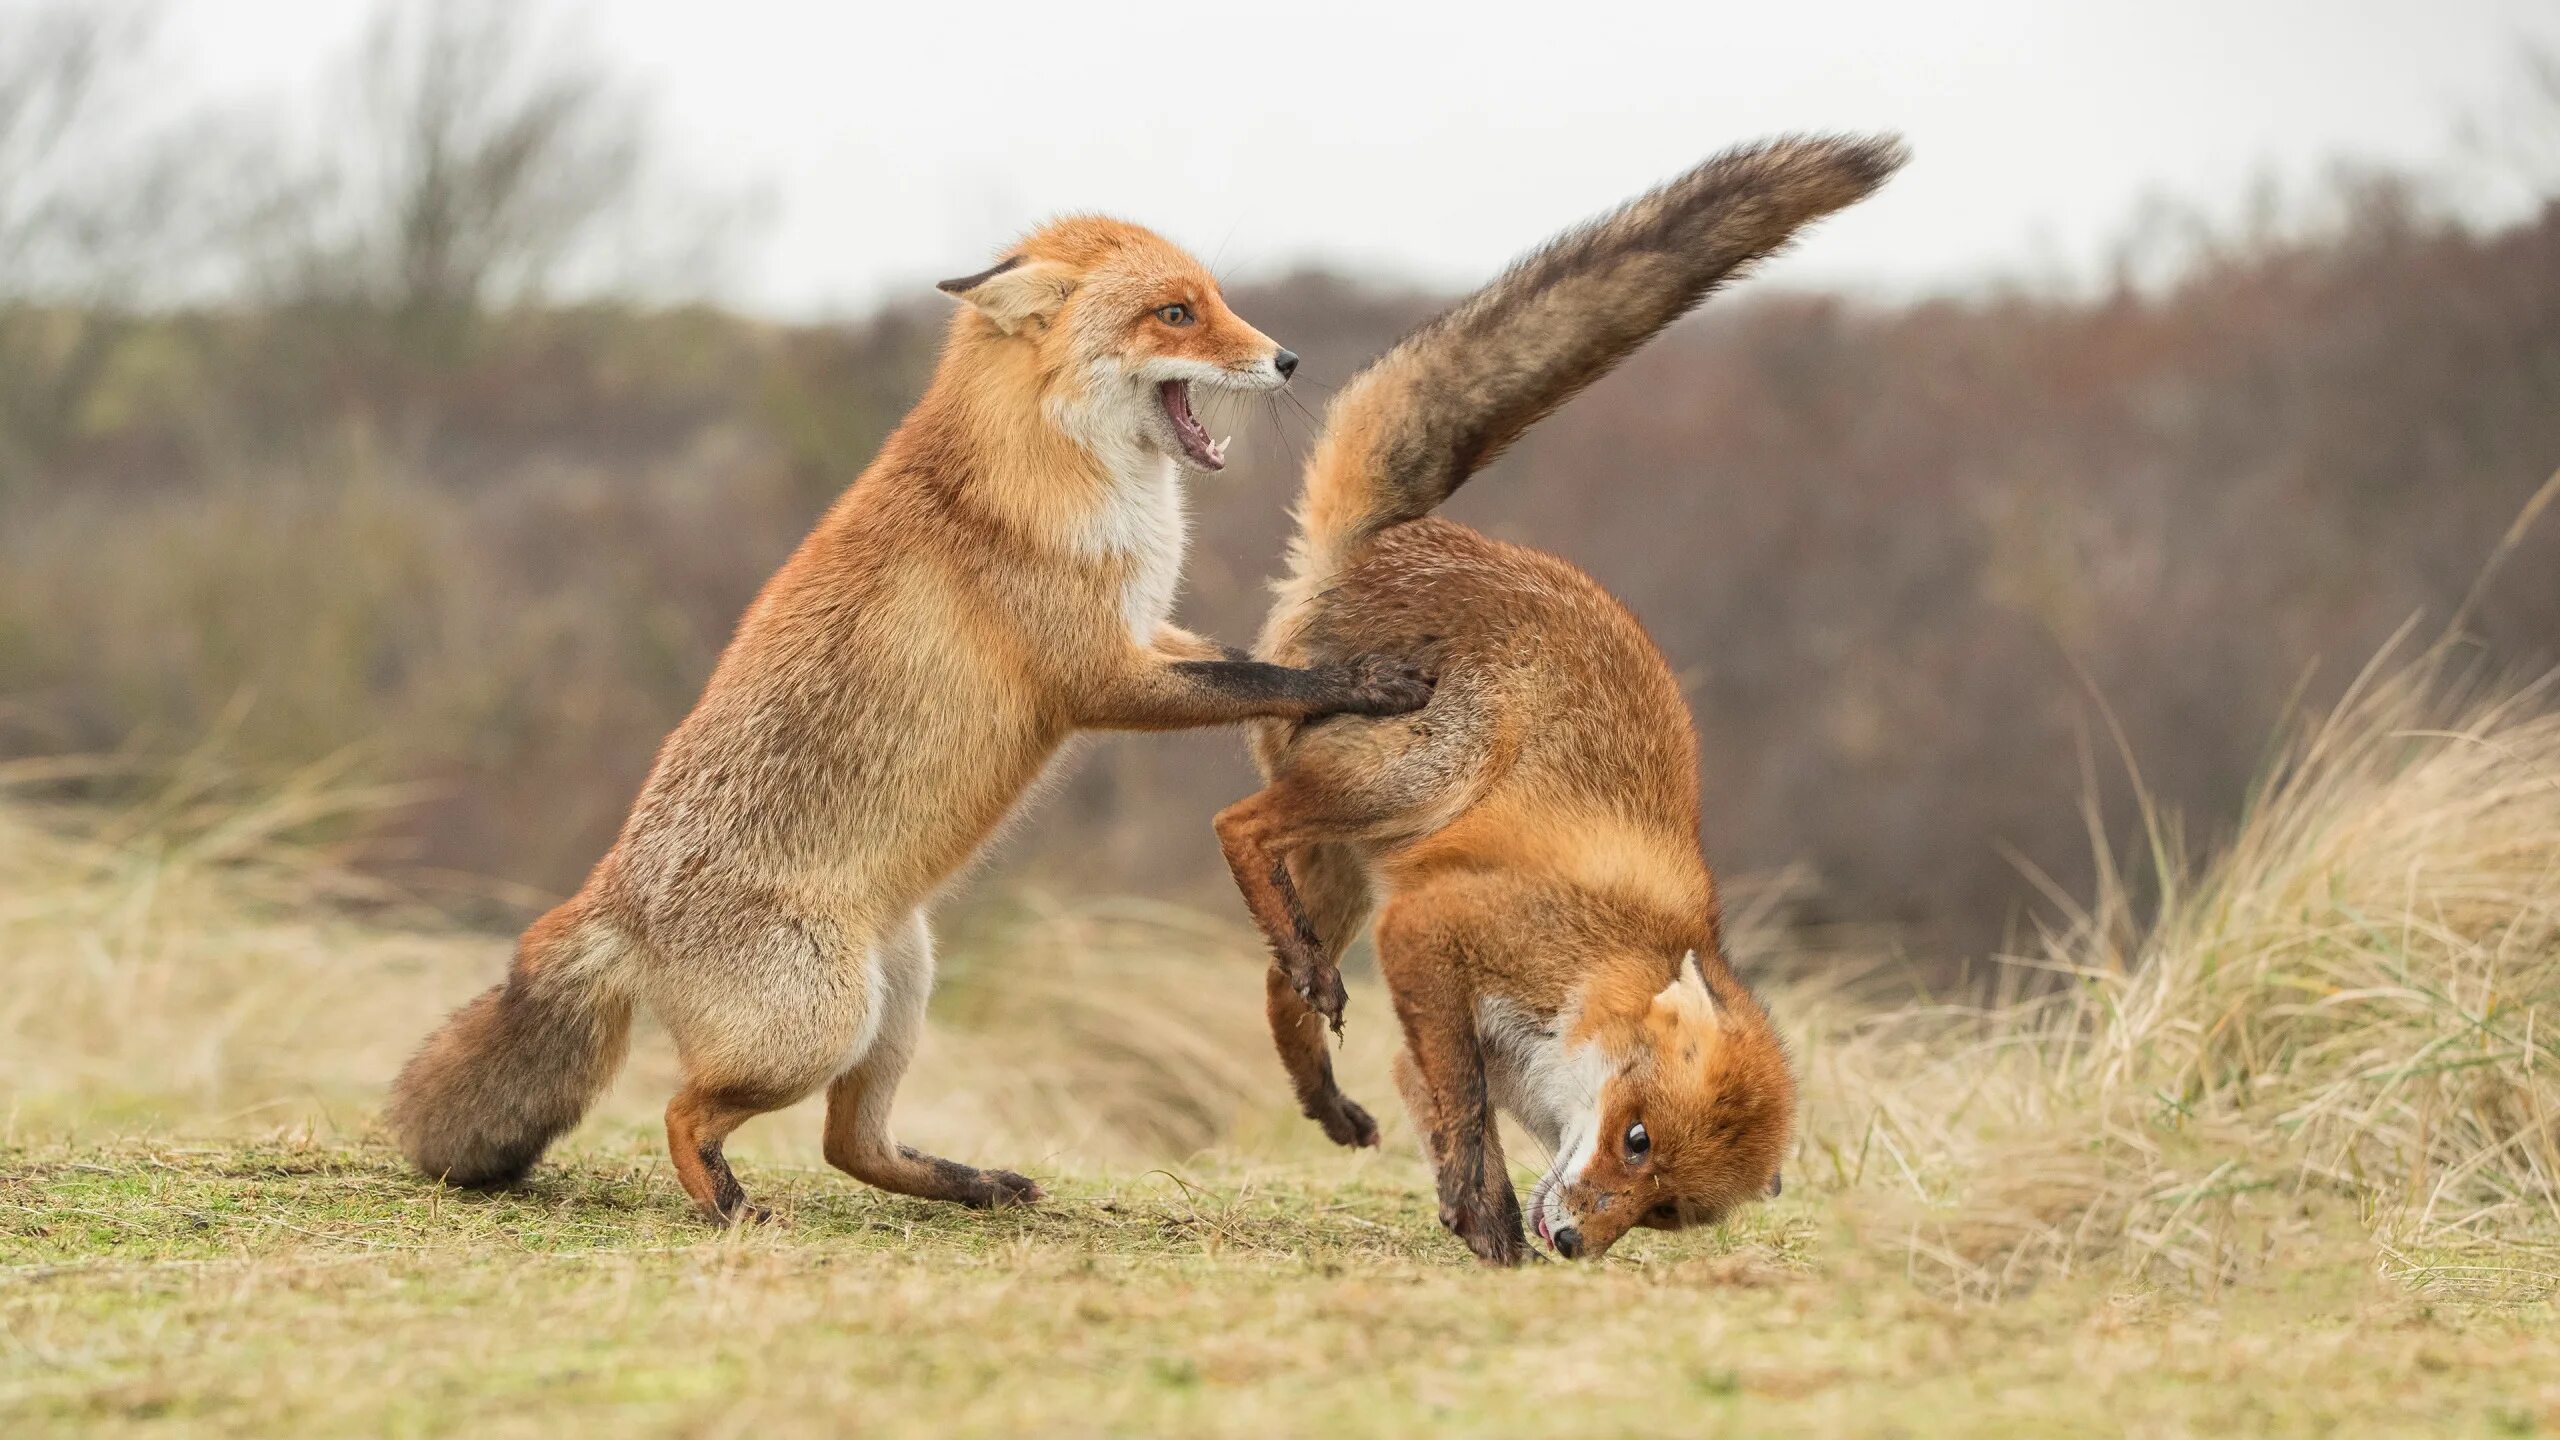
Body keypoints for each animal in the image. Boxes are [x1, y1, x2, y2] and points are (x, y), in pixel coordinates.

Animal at [399, 215, 1443, 1219]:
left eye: (1215, 301)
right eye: (1176, 314)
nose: (1289, 360)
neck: (1062, 477)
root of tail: (612, 896)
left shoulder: (1148, 632)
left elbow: (1248, 662)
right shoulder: (1102, 676)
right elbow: (1267, 681)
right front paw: (1368, 682)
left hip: (899, 993)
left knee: (848, 1145)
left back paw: (973, 1185)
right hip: (817, 1028)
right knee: (682, 1111)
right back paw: (731, 1208)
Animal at [1213, 134, 1904, 1255]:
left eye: (1664, 1211)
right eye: (1636, 1140)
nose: (1575, 1244)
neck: (1604, 966)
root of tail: (1396, 537)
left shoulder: (1427, 1002)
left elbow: (1434, 1096)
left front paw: (1467, 1211)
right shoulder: (1435, 932)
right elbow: (1462, 1101)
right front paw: (1491, 1215)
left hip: (1350, 869)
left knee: (1280, 976)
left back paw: (1323, 1090)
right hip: (1411, 781)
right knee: (1236, 827)